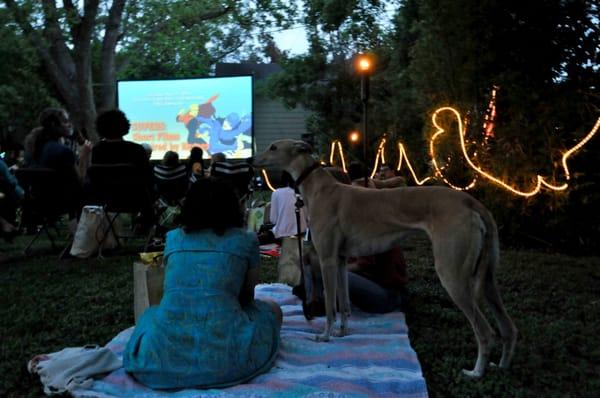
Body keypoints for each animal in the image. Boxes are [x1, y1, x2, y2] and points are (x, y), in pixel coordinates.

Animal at [251, 141, 516, 380]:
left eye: (273, 147)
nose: (251, 160)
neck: (320, 188)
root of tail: (473, 203)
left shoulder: (326, 260)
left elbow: (329, 305)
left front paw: (325, 336)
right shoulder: (340, 260)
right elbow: (343, 302)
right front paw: (342, 332)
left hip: (453, 274)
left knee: (486, 331)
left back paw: (476, 372)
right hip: (488, 278)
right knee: (508, 327)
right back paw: (502, 366)